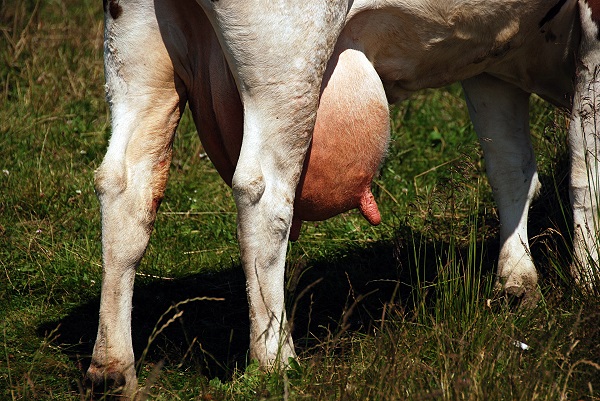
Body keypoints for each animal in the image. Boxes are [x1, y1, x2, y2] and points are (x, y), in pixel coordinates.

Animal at [88, 0, 600, 396]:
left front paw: (518, 285)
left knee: (125, 184)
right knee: (263, 192)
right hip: (288, 62)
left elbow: (511, 168)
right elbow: (585, 162)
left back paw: (112, 370)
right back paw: (277, 362)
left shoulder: (490, 52)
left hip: (140, 53)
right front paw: (588, 280)